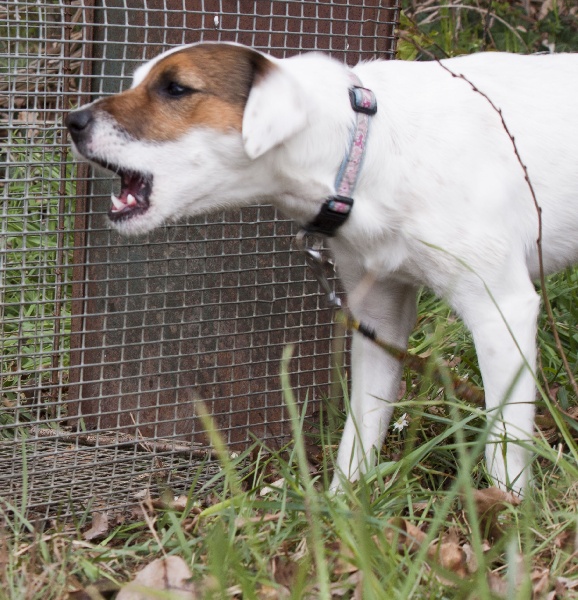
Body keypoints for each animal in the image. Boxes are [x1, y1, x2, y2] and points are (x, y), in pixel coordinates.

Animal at [65, 41, 576, 492]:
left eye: (175, 88)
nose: (71, 120)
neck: (362, 148)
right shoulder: (379, 320)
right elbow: (361, 431)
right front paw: (344, 509)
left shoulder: (500, 310)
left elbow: (505, 444)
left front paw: (506, 516)